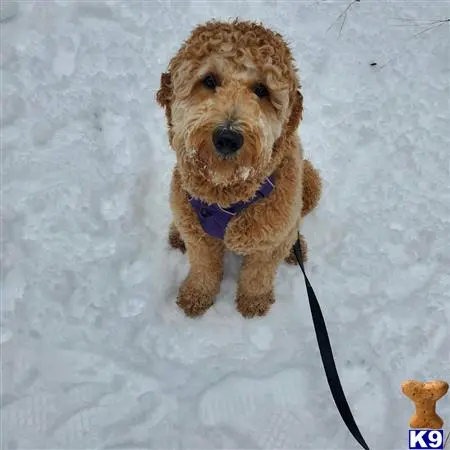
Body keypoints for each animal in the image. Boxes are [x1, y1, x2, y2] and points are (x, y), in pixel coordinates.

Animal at [156, 20, 322, 316]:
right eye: (209, 80)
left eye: (262, 90)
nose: (228, 137)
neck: (226, 194)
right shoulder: (200, 240)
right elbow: (203, 268)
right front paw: (196, 295)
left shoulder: (268, 244)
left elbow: (258, 274)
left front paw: (254, 302)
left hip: (309, 185)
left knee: (294, 228)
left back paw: (296, 248)